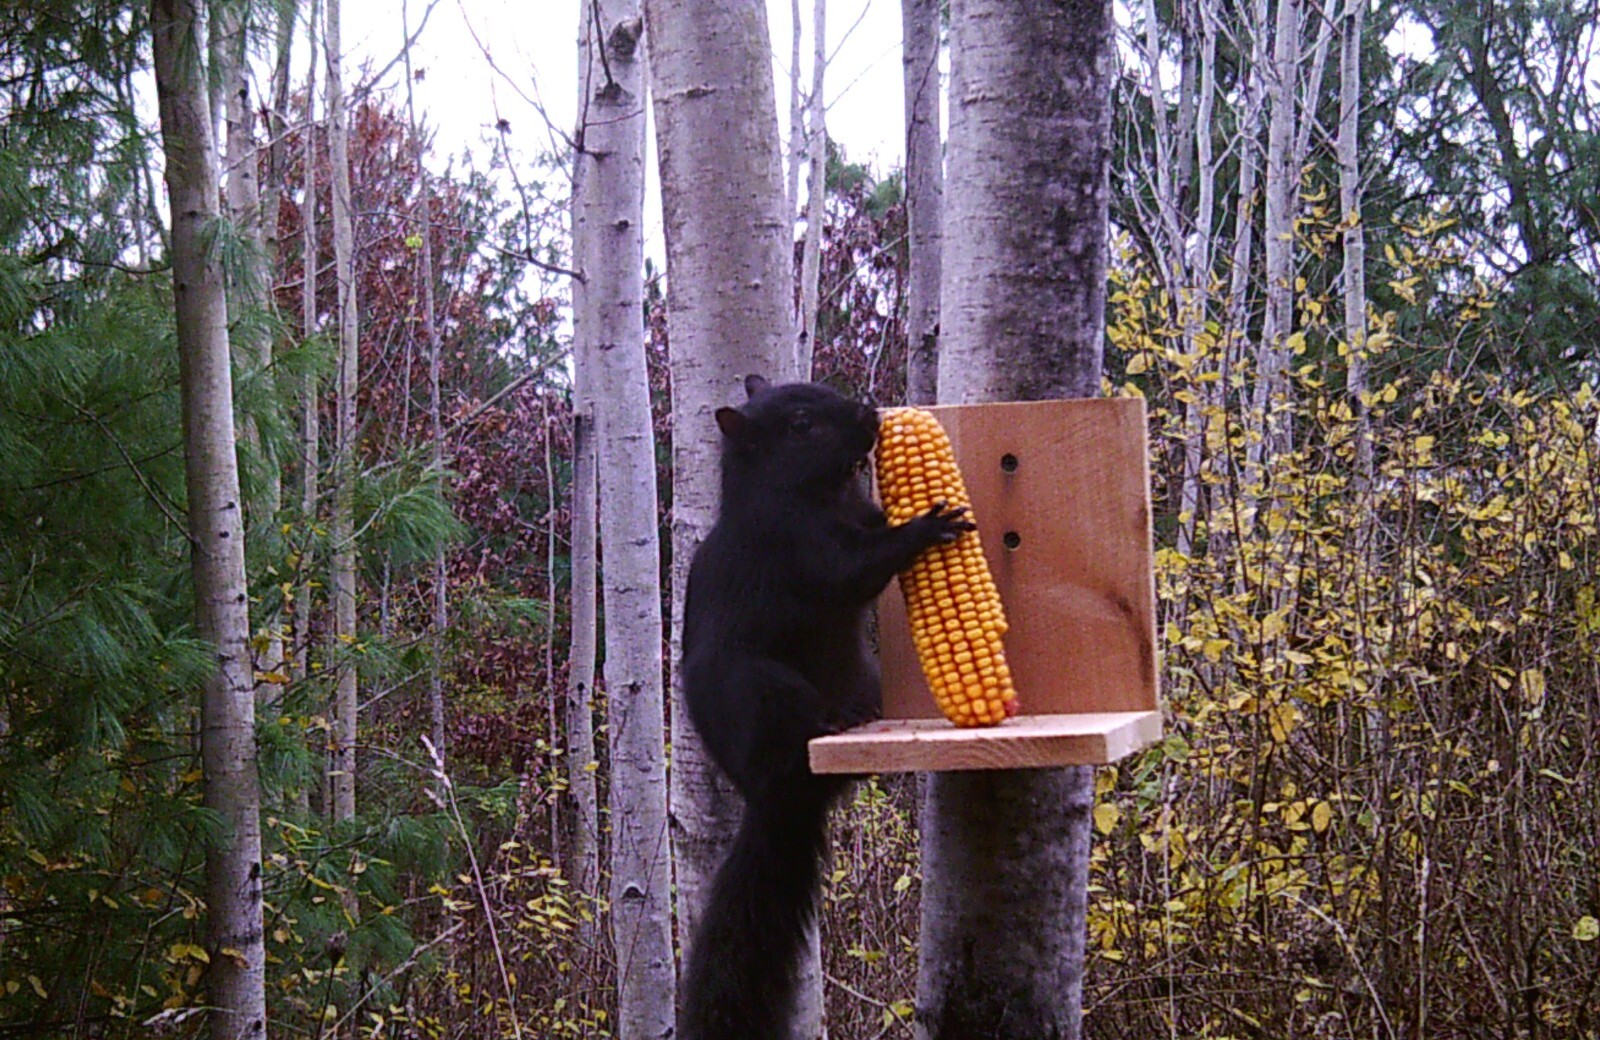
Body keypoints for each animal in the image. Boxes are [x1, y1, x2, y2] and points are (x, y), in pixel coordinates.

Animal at [678, 375, 972, 1040]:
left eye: (820, 390)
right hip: (766, 691)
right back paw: (830, 725)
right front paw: (926, 525)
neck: (824, 495)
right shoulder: (796, 548)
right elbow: (852, 571)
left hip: (862, 681)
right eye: (801, 426)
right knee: (794, 730)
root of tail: (773, 798)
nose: (870, 414)